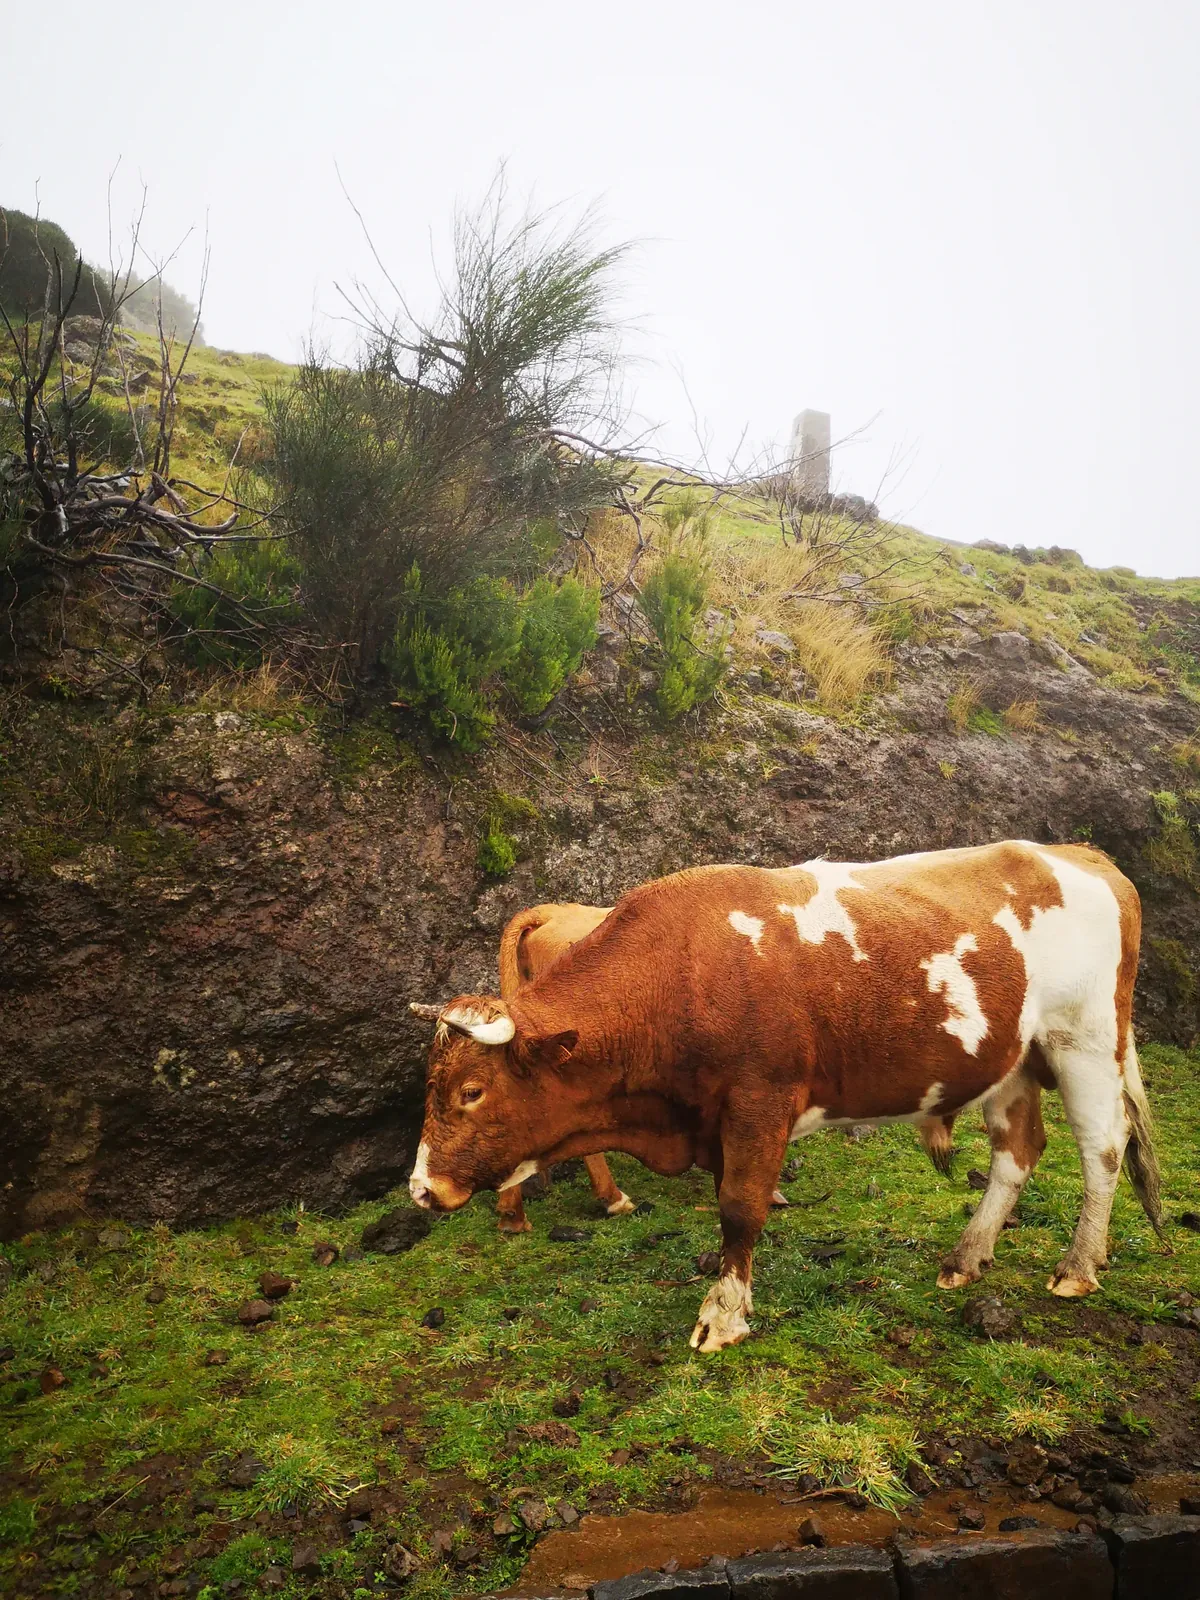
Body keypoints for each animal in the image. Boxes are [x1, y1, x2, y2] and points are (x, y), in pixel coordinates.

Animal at [408, 842, 1166, 1352]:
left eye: (472, 1090)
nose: (420, 1188)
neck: (682, 971)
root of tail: (1077, 854)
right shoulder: (715, 1118)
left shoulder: (759, 1099)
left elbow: (739, 1208)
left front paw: (722, 1315)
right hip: (1012, 1060)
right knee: (1018, 1153)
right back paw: (966, 1257)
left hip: (1085, 1041)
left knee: (1102, 1151)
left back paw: (1077, 1266)